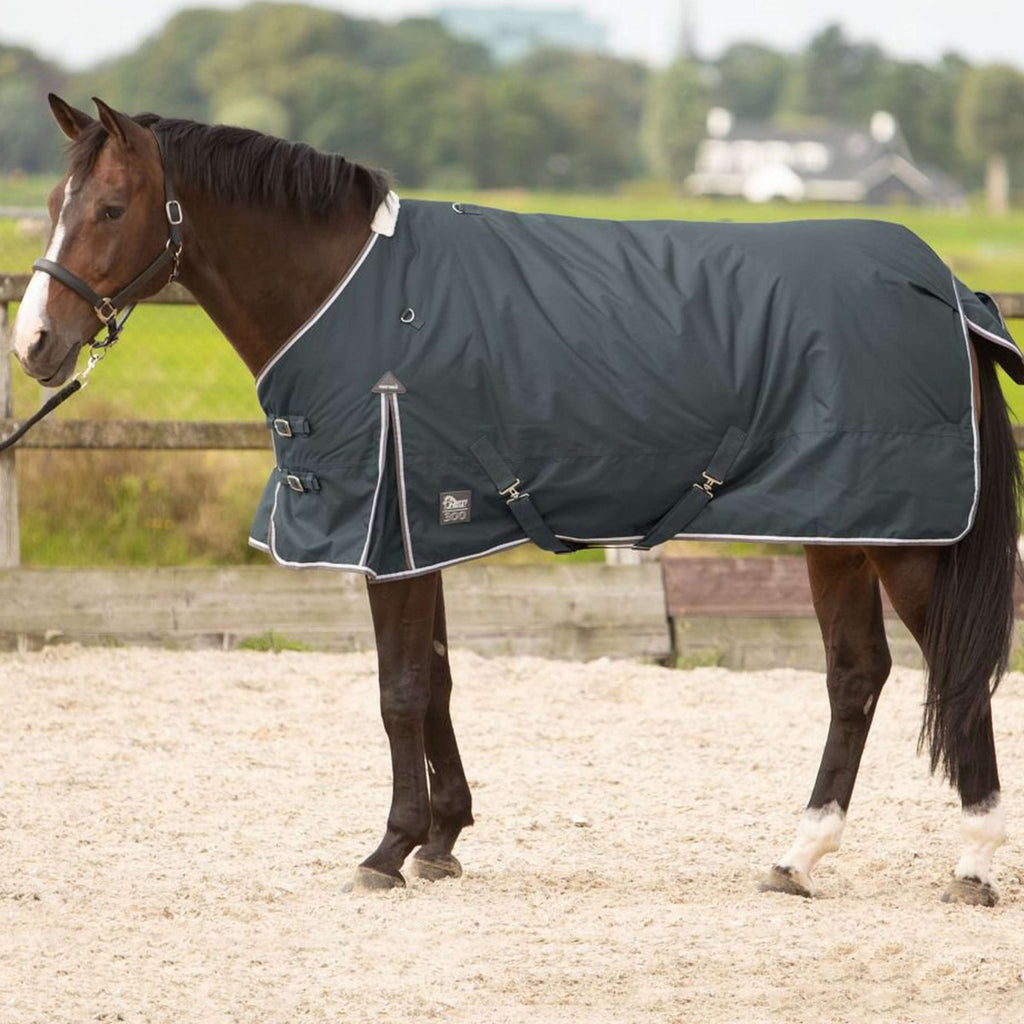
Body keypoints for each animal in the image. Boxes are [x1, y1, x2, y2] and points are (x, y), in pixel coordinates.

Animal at [12, 95, 1022, 904]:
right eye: (54, 207)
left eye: (110, 208)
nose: (35, 346)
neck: (353, 295)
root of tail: (943, 286)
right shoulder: (420, 530)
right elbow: (439, 681)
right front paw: (443, 838)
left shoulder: (391, 530)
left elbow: (399, 690)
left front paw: (388, 849)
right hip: (839, 526)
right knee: (857, 675)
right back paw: (799, 857)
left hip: (903, 539)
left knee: (953, 672)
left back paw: (973, 862)